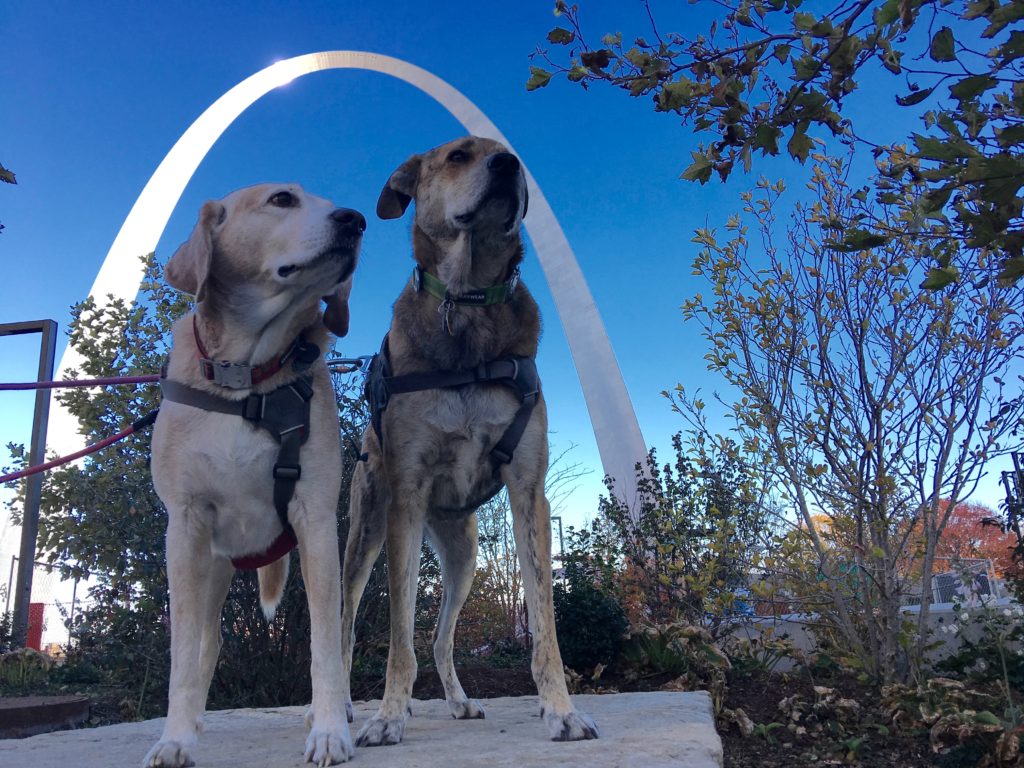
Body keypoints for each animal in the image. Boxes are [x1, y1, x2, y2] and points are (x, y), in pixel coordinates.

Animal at [142, 183, 366, 765]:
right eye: (282, 198)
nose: (357, 220)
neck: (246, 380)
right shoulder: (185, 529)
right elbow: (182, 656)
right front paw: (175, 737)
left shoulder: (316, 523)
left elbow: (324, 644)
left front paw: (329, 728)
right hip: (212, 570)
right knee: (207, 644)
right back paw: (194, 721)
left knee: (338, 633)